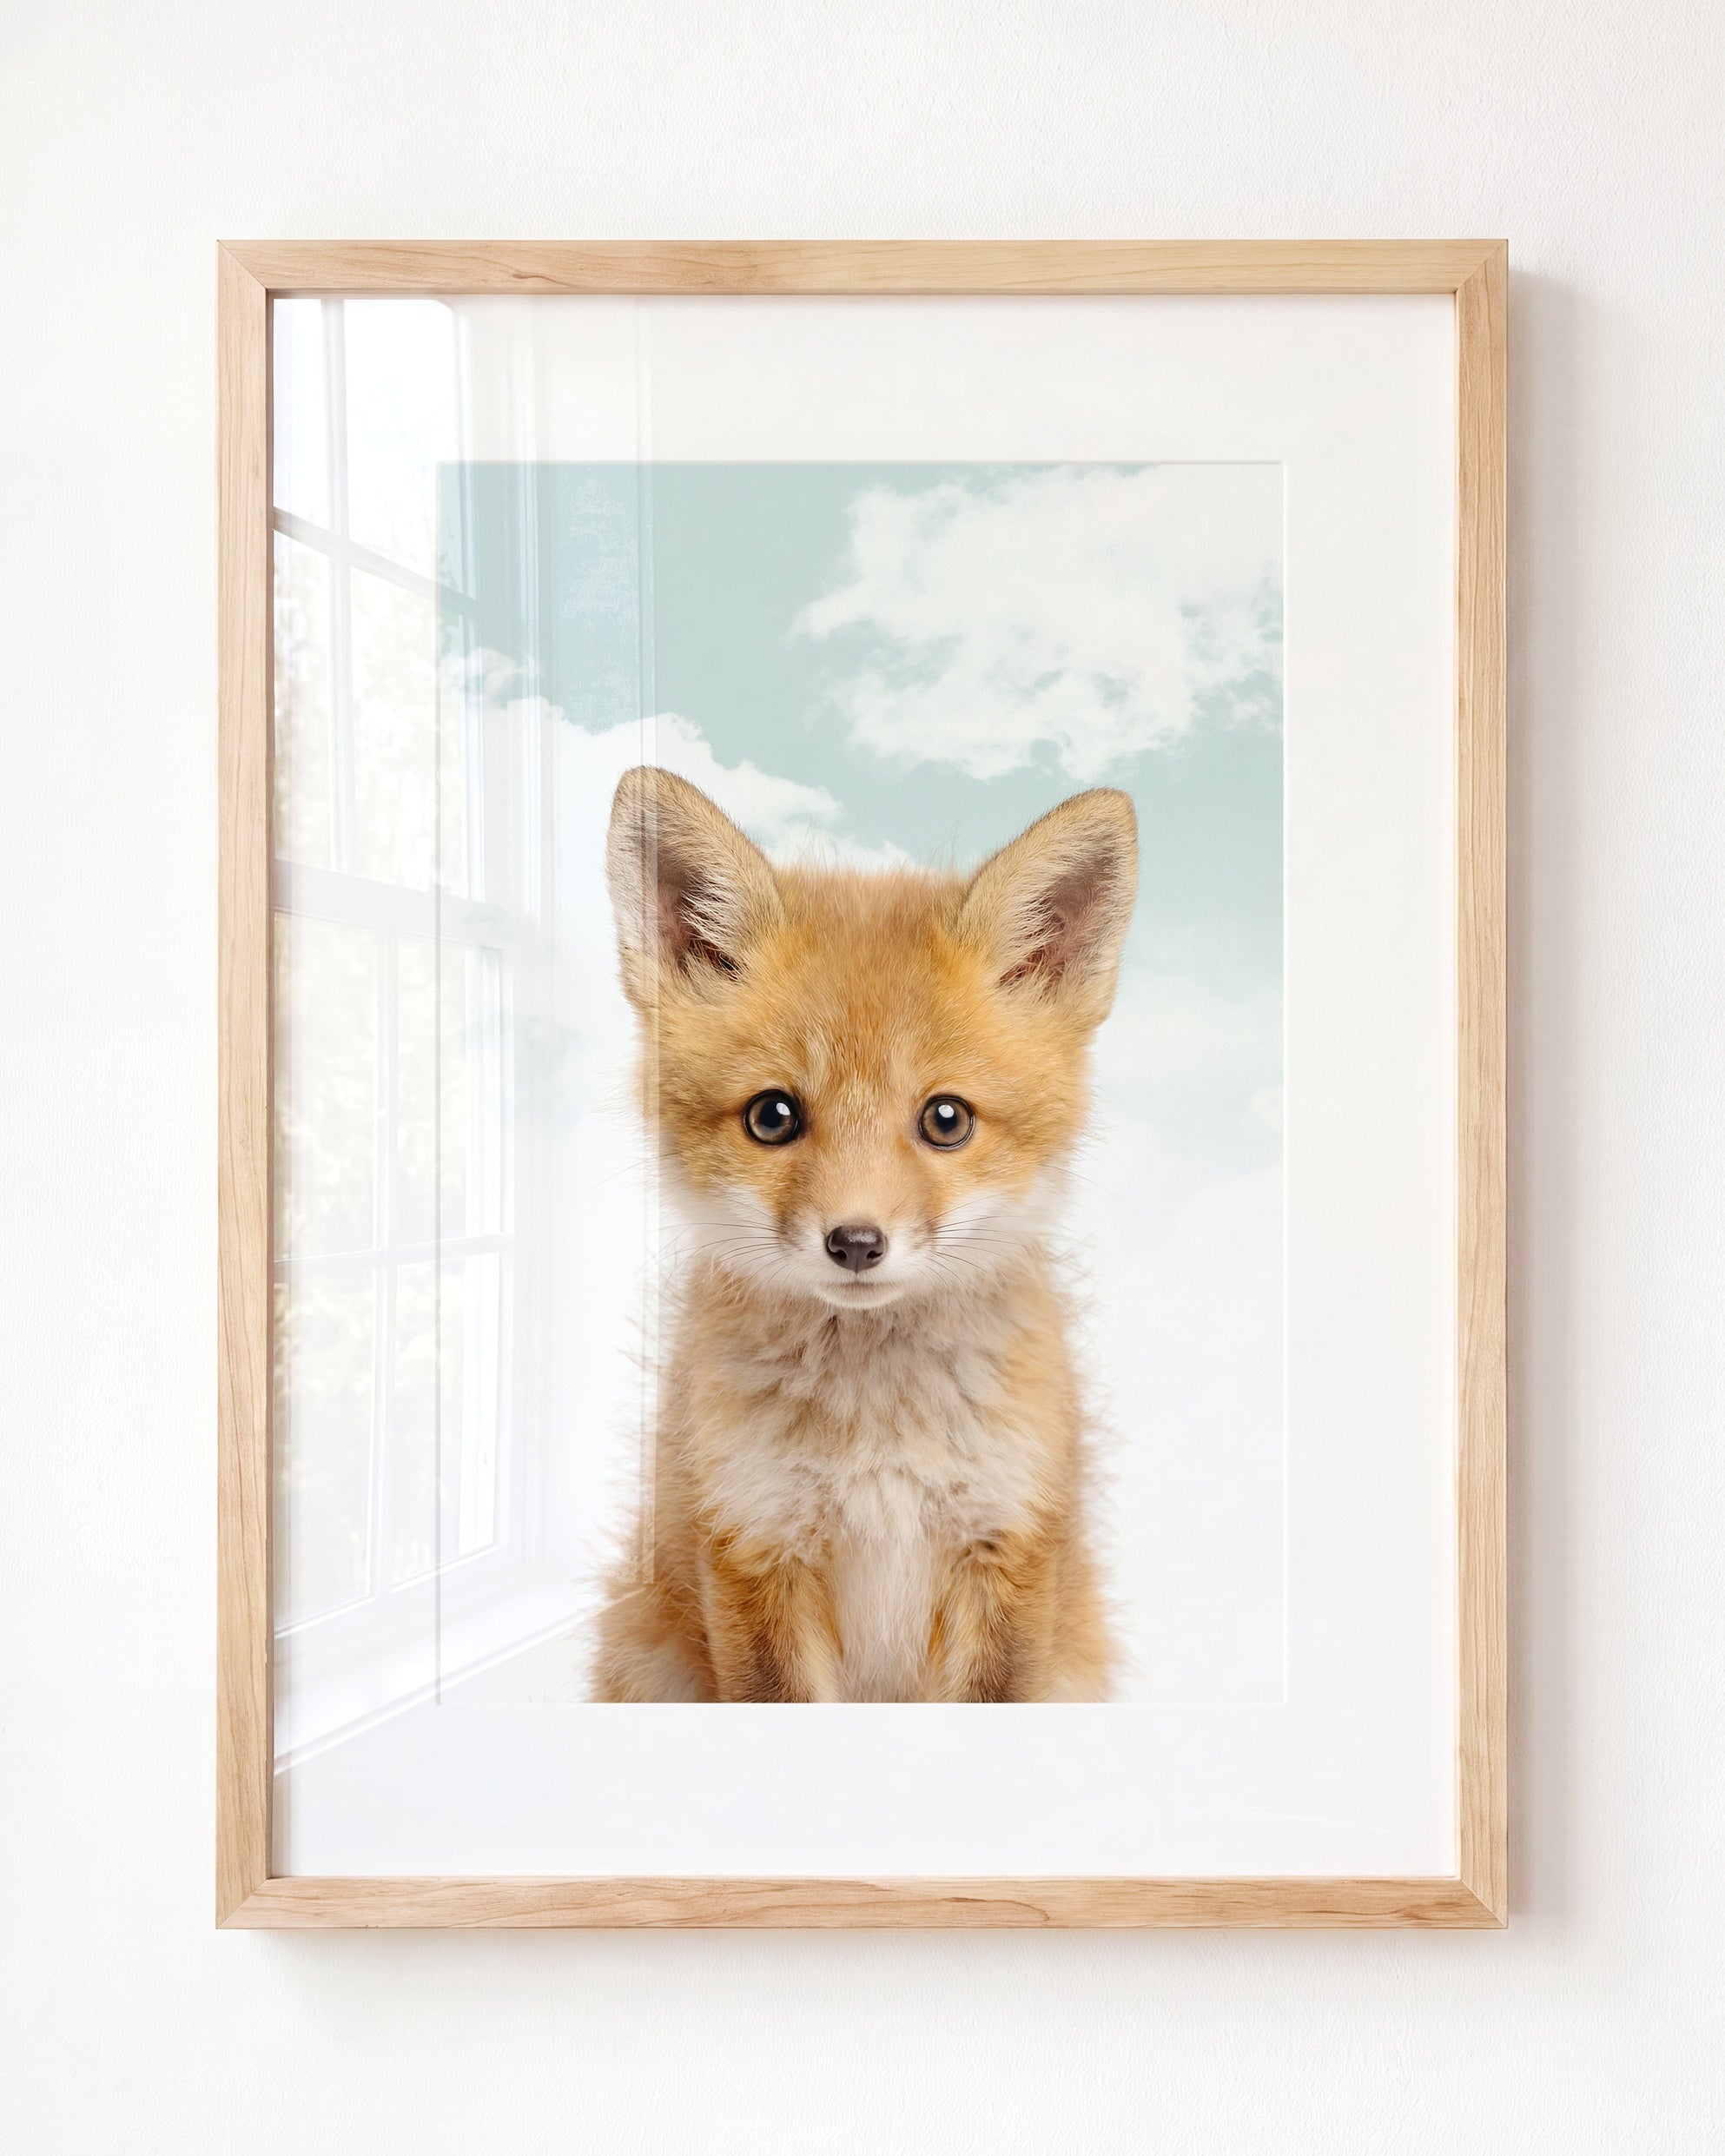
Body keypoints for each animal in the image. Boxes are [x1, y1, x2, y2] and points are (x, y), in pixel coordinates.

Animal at [590, 765, 1139, 1703]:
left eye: (946, 1120)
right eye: (773, 1116)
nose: (854, 1243)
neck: (877, 1440)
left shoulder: (1006, 1546)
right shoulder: (754, 1546)